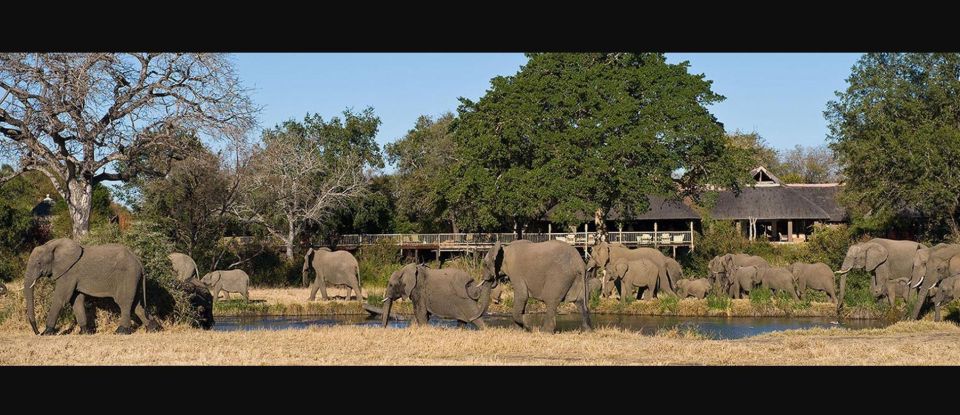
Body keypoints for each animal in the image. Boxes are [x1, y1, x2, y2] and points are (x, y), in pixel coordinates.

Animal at [22, 239, 161, 336]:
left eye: (39, 263)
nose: (37, 332)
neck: (51, 245)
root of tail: (139, 261)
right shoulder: (73, 276)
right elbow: (76, 301)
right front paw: (84, 332)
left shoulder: (69, 273)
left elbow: (61, 299)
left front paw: (47, 333)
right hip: (133, 277)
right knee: (137, 304)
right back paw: (154, 329)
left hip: (128, 275)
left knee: (124, 302)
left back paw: (121, 332)